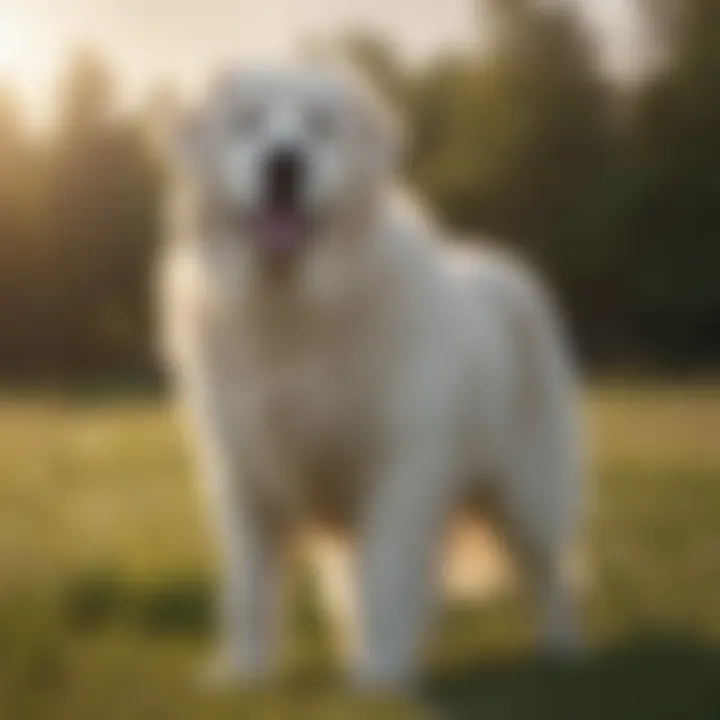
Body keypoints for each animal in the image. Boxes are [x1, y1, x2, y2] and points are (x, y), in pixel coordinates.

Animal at [159, 64, 584, 688]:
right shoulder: (246, 478)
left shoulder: (400, 471)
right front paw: (245, 674)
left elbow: (388, 580)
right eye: (248, 121)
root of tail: (509, 269)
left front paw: (382, 677)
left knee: (551, 572)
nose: (284, 163)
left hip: (528, 488)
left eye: (321, 125)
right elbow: (250, 588)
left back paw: (561, 650)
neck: (293, 304)